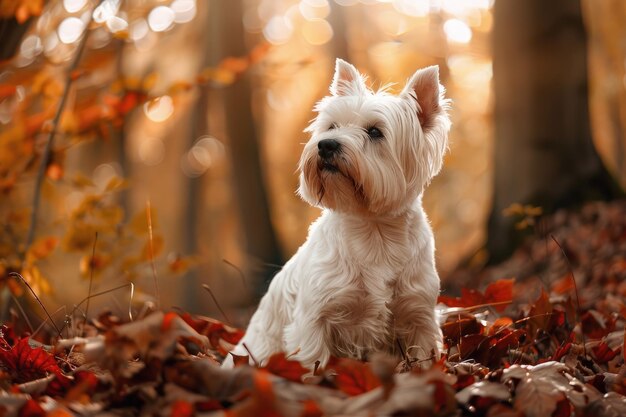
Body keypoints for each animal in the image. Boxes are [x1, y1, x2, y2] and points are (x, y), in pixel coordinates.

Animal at [224, 57, 448, 368]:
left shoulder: (418, 315)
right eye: (332, 126)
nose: (326, 144)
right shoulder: (314, 318)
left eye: (375, 131)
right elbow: (312, 361)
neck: (374, 230)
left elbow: (423, 358)